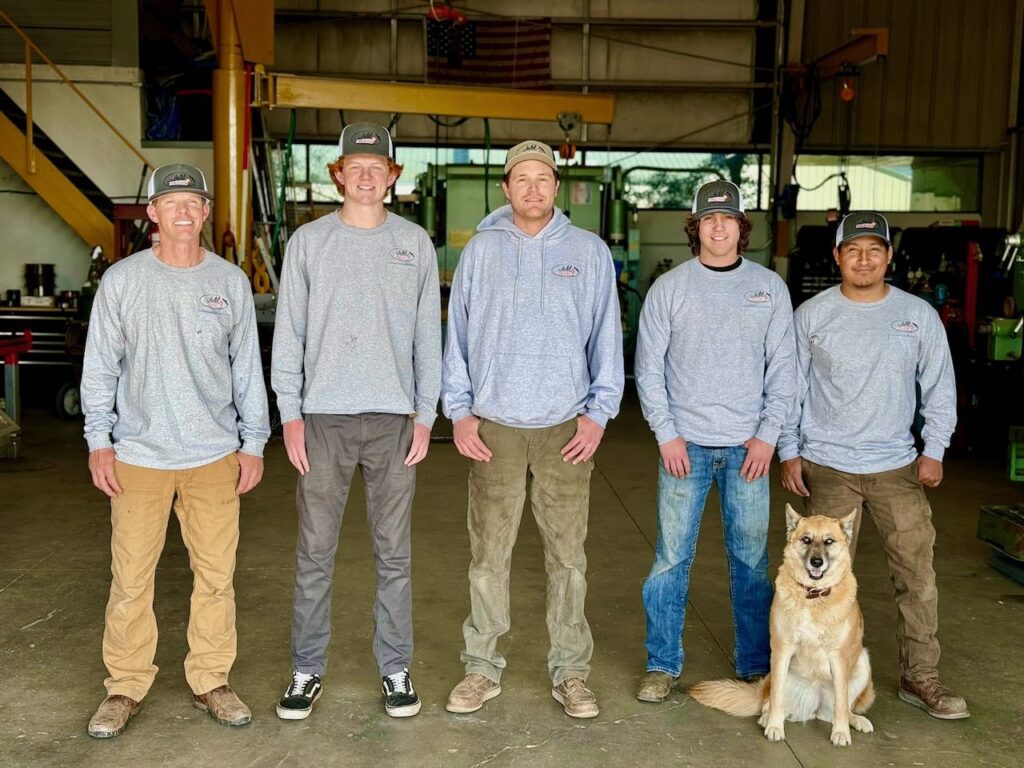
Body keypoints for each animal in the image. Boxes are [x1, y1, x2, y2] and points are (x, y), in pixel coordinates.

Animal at [688, 507, 872, 749]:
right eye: (806, 540)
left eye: (829, 541)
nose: (816, 562)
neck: (812, 596)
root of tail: (813, 705)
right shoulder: (782, 649)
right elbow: (776, 698)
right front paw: (775, 727)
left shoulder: (838, 658)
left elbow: (841, 703)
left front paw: (841, 732)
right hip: (780, 675)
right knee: (771, 701)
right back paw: (768, 718)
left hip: (862, 662)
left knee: (835, 710)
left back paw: (856, 720)